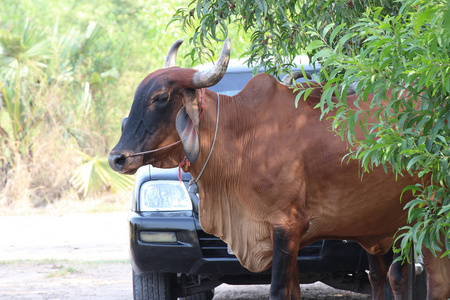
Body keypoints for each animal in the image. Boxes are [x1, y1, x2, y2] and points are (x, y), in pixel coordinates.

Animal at [109, 38, 450, 298]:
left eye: (160, 98)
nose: (117, 158)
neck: (240, 135)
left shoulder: (286, 226)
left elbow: (278, 290)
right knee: (385, 278)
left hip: (425, 220)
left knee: (427, 279)